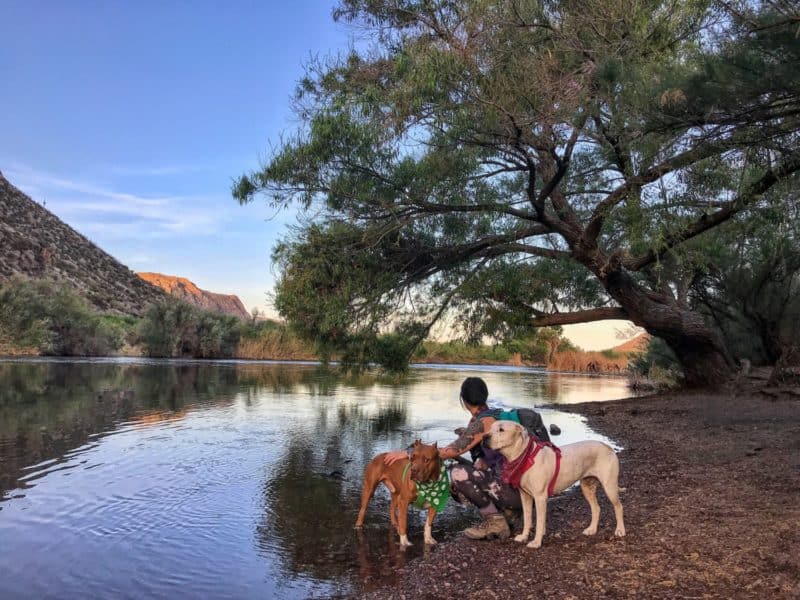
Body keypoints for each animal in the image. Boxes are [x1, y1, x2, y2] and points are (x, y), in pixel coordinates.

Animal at [488, 422, 624, 548]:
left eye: (501, 429)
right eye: (490, 428)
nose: (485, 437)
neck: (524, 456)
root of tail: (607, 446)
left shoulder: (540, 497)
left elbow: (539, 521)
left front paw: (536, 542)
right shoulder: (525, 496)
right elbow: (527, 518)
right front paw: (524, 536)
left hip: (609, 487)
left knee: (618, 507)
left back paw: (620, 530)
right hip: (587, 487)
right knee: (596, 508)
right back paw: (592, 529)